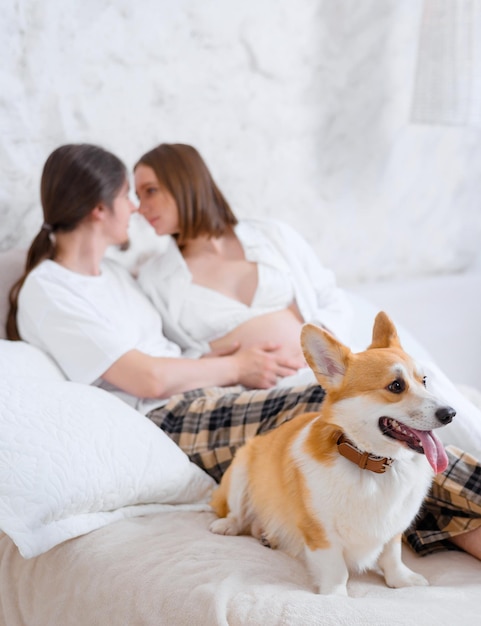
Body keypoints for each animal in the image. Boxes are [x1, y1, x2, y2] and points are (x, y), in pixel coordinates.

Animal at [210, 312, 454, 596]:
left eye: (424, 381)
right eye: (395, 386)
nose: (450, 413)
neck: (372, 464)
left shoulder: (393, 527)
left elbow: (392, 554)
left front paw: (401, 580)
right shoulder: (320, 533)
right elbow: (337, 570)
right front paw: (335, 597)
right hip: (240, 470)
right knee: (238, 513)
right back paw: (229, 525)